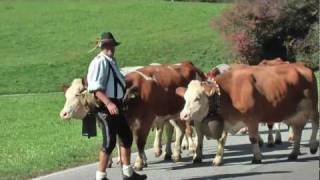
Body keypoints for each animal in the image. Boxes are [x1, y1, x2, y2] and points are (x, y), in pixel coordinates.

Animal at [176, 62, 318, 165]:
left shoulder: (252, 118)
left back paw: (312, 145)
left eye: (197, 98)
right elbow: (221, 140)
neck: (227, 94)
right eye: (185, 98)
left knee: (315, 122)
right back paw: (294, 153)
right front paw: (217, 159)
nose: (183, 115)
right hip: (294, 114)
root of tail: (303, 67)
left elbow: (253, 138)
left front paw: (257, 157)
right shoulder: (226, 119)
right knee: (298, 131)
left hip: (311, 106)